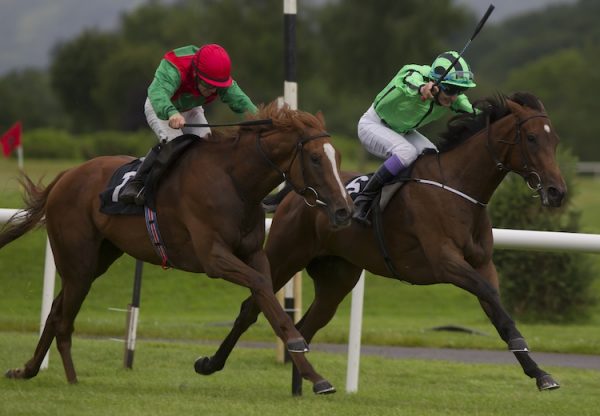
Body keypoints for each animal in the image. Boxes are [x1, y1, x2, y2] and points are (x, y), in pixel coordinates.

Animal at [2, 101, 354, 394]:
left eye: (337, 157)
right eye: (315, 158)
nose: (344, 210)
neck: (235, 182)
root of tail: (67, 175)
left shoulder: (254, 254)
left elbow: (266, 297)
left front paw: (315, 375)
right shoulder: (214, 258)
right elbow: (261, 288)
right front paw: (297, 343)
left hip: (97, 259)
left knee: (54, 312)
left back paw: (26, 370)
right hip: (78, 262)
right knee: (63, 319)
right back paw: (71, 378)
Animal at [192, 92, 568, 392]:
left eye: (555, 141)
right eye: (531, 138)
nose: (556, 191)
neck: (457, 188)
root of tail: (298, 194)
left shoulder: (482, 264)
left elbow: (496, 307)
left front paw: (539, 373)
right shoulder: (445, 261)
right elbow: (490, 296)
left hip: (337, 278)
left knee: (305, 326)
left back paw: (307, 386)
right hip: (284, 255)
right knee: (251, 307)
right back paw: (210, 364)